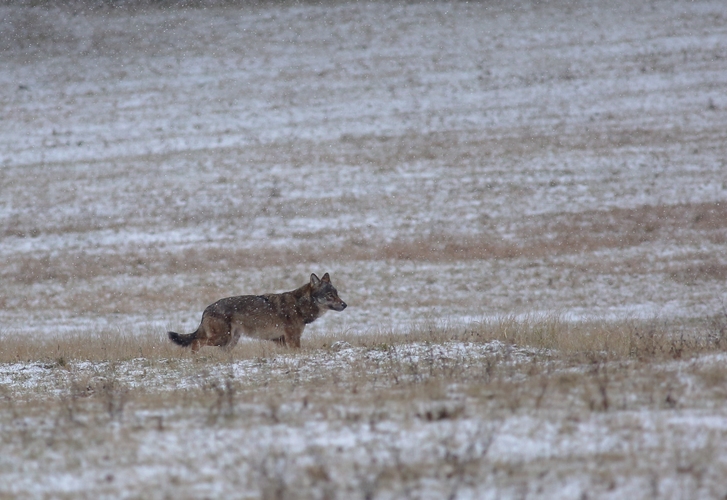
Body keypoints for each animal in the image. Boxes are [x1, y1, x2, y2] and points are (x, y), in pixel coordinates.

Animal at [168, 274, 346, 352]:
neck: (299, 305)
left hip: (229, 342)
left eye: (337, 293)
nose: (345, 305)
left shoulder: (280, 340)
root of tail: (206, 309)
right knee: (195, 342)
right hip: (221, 338)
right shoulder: (292, 339)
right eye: (330, 295)